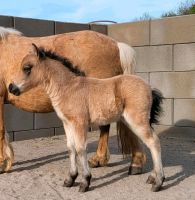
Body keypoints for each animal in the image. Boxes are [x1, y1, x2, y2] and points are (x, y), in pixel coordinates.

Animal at [0, 27, 145, 173]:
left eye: (27, 68)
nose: (12, 87)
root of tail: (116, 45)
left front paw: (2, 163)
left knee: (107, 126)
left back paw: (124, 162)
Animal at [9, 45, 165, 192]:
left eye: (27, 68)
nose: (11, 88)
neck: (68, 88)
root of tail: (148, 87)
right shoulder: (67, 123)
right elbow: (71, 148)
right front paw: (70, 179)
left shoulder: (79, 123)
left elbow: (80, 149)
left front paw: (85, 182)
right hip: (131, 121)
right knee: (151, 143)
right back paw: (152, 177)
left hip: (137, 121)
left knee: (154, 142)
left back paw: (158, 182)